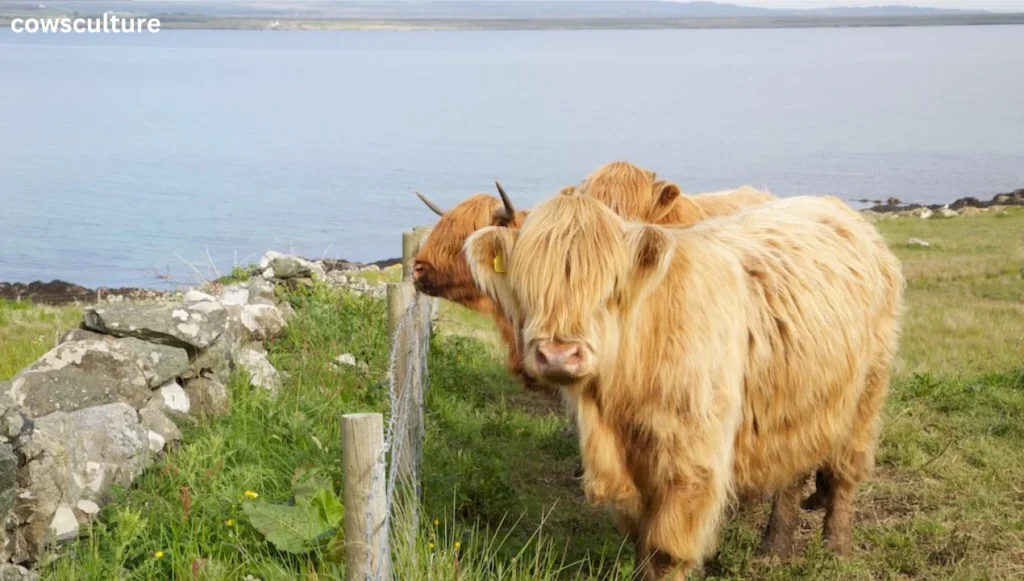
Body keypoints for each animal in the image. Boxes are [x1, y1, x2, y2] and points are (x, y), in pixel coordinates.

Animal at [464, 188, 905, 577]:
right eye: (527, 281)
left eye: (610, 287)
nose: (559, 354)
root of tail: (840, 209)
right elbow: (641, 539)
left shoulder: (691, 460)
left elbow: (665, 551)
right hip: (794, 396)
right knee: (791, 470)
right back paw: (773, 549)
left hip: (866, 394)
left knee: (843, 473)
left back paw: (836, 548)